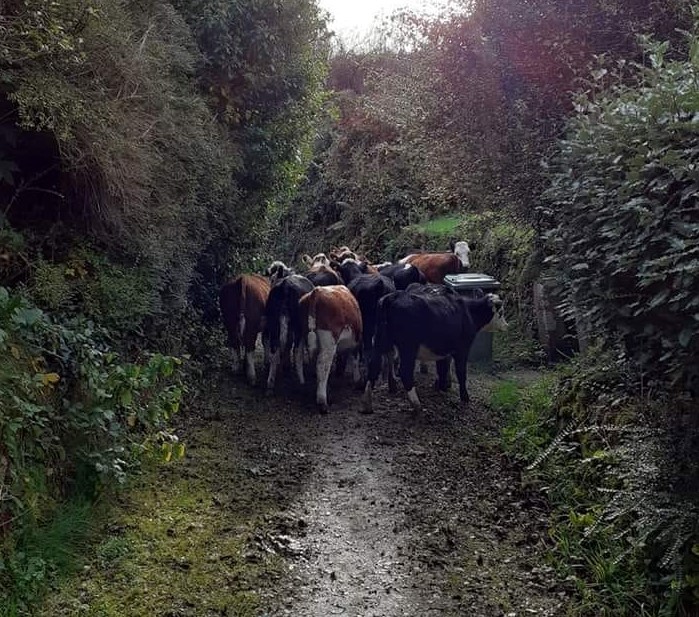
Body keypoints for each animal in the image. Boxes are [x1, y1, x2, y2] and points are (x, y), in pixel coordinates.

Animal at [364, 290, 506, 414]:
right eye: (501, 312)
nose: (507, 325)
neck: (469, 312)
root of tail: (392, 297)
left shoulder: (444, 350)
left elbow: (442, 368)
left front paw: (442, 387)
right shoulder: (462, 349)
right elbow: (461, 372)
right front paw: (464, 397)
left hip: (380, 340)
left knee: (373, 366)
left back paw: (367, 403)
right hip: (408, 347)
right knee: (405, 372)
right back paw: (416, 405)